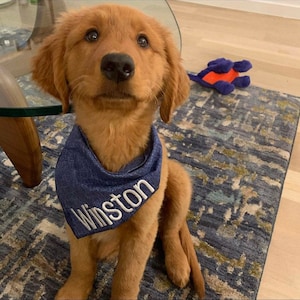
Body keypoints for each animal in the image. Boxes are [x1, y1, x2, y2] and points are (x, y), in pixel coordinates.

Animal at [32, 4, 205, 300]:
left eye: (143, 41)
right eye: (91, 35)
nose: (118, 65)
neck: (114, 132)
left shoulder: (143, 231)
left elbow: (127, 278)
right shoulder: (75, 221)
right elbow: (81, 264)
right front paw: (75, 290)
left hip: (179, 180)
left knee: (170, 230)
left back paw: (178, 264)